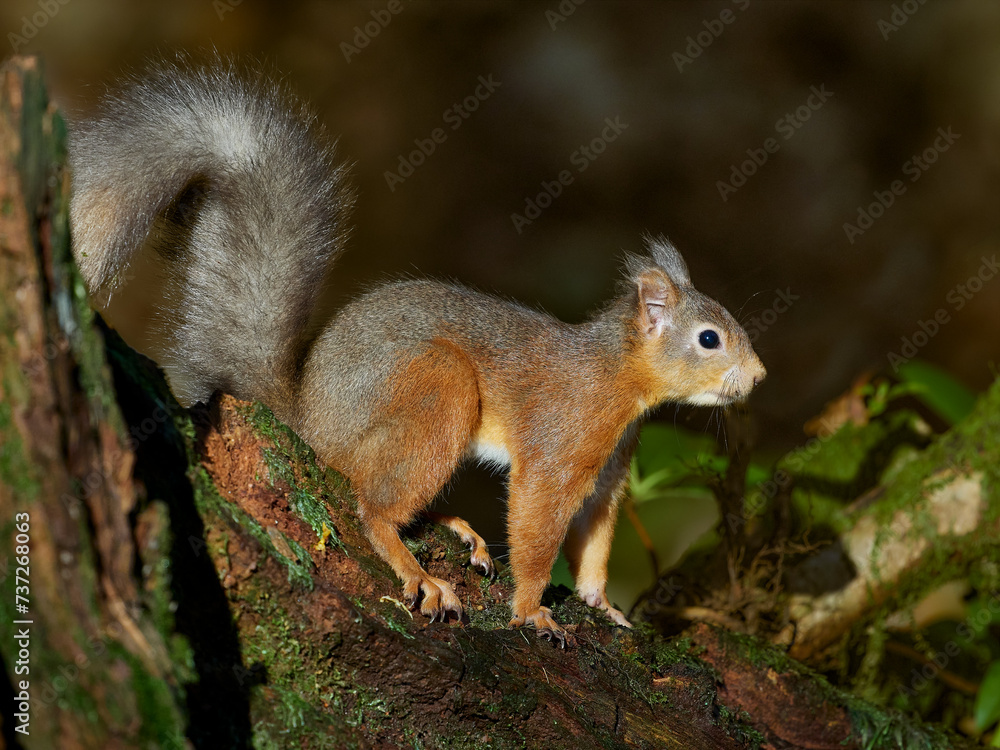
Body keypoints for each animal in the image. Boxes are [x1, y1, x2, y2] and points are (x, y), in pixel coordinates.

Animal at [69, 58, 766, 643]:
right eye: (709, 338)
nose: (758, 376)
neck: (616, 378)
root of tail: (310, 419)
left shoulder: (610, 470)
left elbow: (594, 540)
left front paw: (602, 605)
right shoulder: (558, 447)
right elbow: (538, 530)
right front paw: (532, 610)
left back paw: (453, 528)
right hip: (439, 386)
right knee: (372, 506)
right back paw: (419, 570)